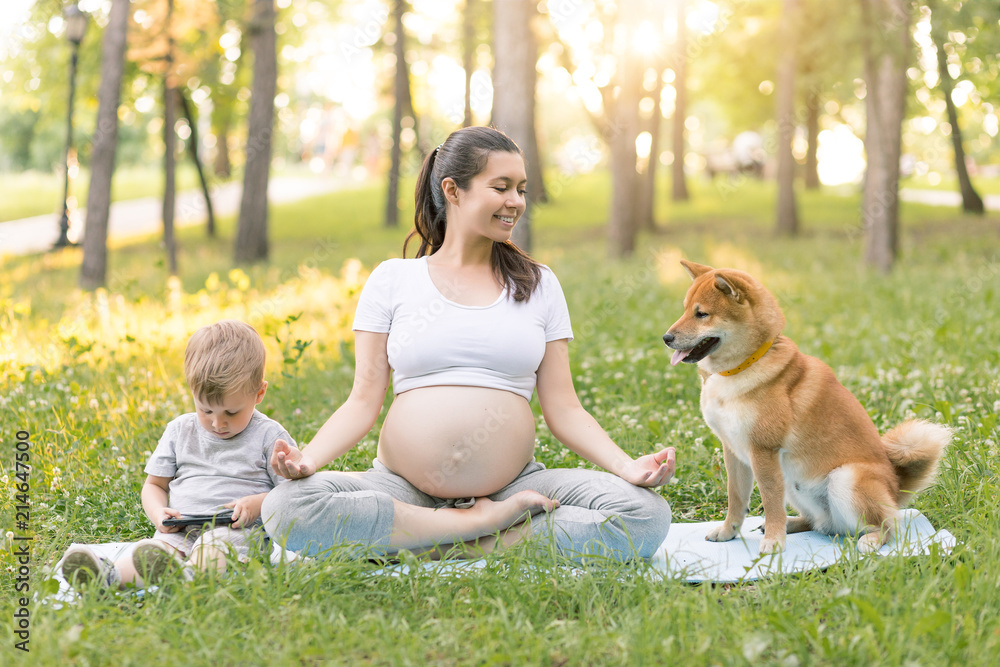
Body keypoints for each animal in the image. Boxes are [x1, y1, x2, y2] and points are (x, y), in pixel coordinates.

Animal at [664, 260, 952, 552]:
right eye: (685, 309)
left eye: (702, 314)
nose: (666, 337)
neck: (740, 368)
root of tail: (896, 486)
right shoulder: (733, 450)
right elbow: (736, 498)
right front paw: (728, 532)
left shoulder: (764, 451)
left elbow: (770, 502)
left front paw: (773, 542)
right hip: (795, 485)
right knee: (818, 524)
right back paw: (793, 523)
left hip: (845, 478)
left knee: (887, 525)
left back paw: (869, 540)